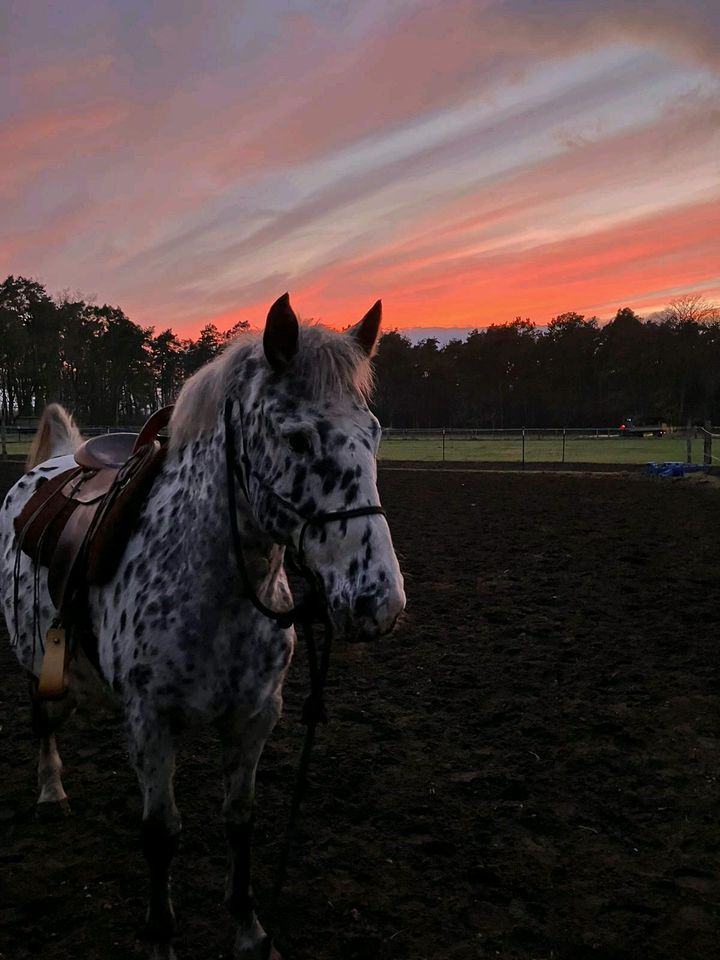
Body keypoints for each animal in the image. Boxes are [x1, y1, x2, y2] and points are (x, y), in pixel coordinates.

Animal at [0, 294, 404, 960]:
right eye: (297, 437)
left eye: (373, 433)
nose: (379, 601)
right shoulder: (152, 720)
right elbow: (161, 834)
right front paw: (162, 937)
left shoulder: (254, 716)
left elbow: (239, 819)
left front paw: (249, 929)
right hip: (35, 658)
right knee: (42, 719)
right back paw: (50, 791)